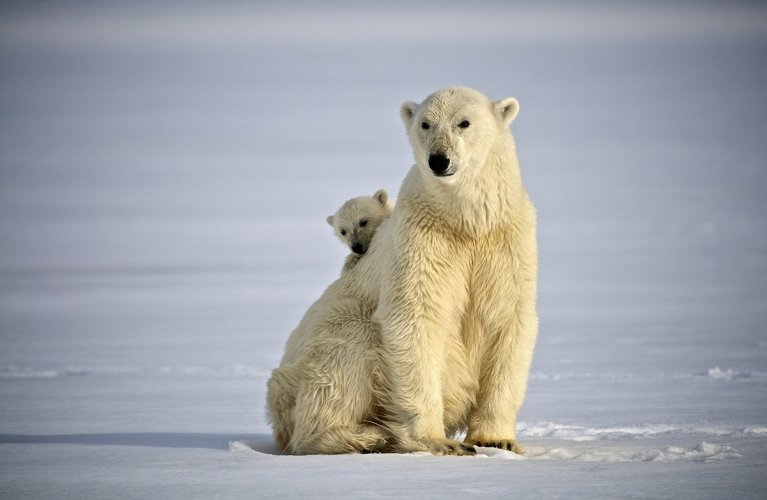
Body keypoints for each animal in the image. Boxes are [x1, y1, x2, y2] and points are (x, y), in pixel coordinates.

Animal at [270, 88, 540, 456]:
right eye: (425, 123)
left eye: (464, 122)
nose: (439, 160)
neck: (464, 221)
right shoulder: (422, 240)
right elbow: (415, 319)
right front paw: (441, 441)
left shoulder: (505, 241)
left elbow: (508, 318)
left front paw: (496, 439)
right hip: (322, 351)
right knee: (345, 360)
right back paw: (365, 437)